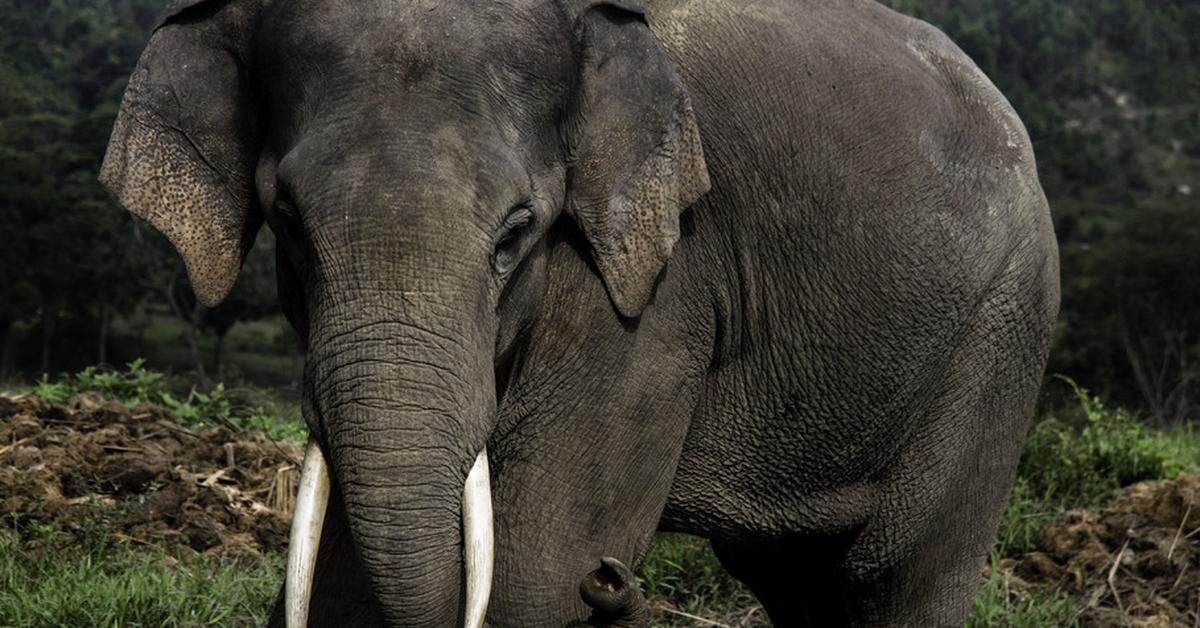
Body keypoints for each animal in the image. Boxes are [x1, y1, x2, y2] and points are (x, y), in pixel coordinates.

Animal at [103, 0, 1060, 624]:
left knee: (899, 577)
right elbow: (343, 576)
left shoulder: (657, 287)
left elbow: (537, 569)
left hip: (1002, 332)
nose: (614, 583)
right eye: (289, 222)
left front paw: (568, 571)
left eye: (517, 232)